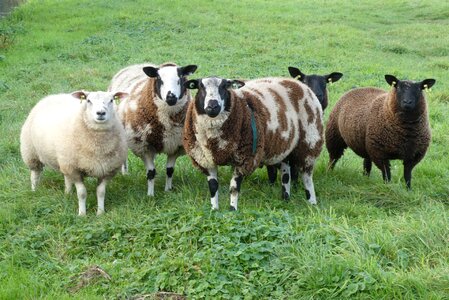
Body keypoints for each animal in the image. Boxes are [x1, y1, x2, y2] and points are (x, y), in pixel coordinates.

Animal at [107, 62, 197, 196]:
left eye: (180, 78)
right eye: (159, 79)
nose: (171, 97)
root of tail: (137, 64)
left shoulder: (175, 146)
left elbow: (170, 170)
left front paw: (168, 190)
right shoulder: (144, 147)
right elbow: (150, 173)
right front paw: (150, 195)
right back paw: (125, 173)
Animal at [184, 76, 324, 210]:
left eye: (224, 87)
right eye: (200, 87)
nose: (213, 107)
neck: (215, 142)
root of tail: (296, 82)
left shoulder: (244, 159)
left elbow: (234, 188)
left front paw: (232, 210)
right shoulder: (206, 160)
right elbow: (213, 187)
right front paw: (214, 209)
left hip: (309, 142)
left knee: (307, 177)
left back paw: (312, 202)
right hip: (283, 146)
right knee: (285, 173)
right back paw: (286, 198)